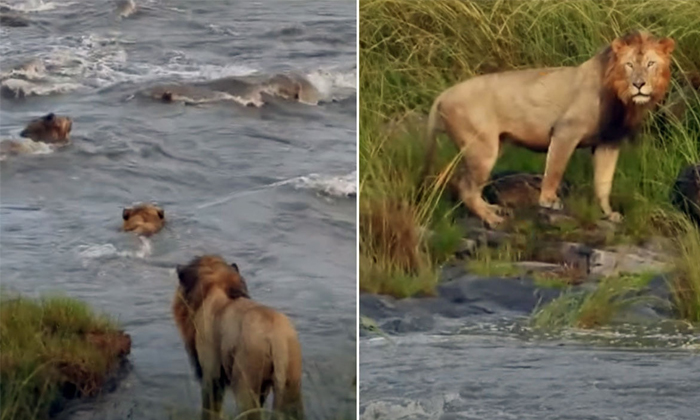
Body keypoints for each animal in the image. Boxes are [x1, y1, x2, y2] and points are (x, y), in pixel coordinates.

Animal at [172, 254, 304, 420]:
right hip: (291, 388)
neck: (214, 287)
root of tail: (276, 339)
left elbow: (210, 410)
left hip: (245, 384)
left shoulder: (211, 374)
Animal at [424, 30, 676, 228]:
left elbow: (603, 183)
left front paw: (609, 213)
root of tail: (442, 95)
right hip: (482, 148)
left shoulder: (608, 142)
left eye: (651, 64)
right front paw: (548, 200)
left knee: (468, 185)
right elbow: (555, 168)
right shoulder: (566, 131)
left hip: (490, 146)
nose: (639, 84)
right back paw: (492, 219)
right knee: (465, 187)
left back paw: (493, 209)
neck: (621, 98)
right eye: (629, 65)